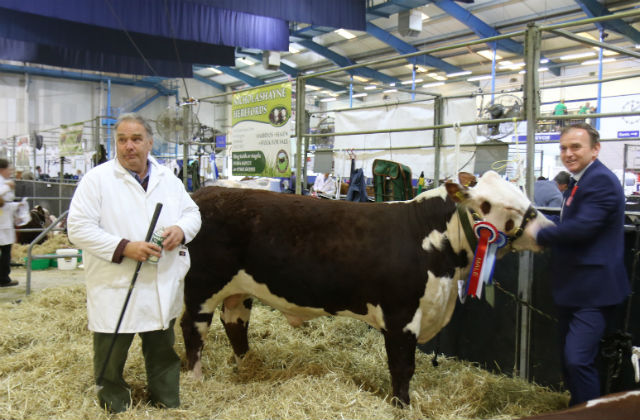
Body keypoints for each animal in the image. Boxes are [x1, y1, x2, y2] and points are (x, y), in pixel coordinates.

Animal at [181, 170, 556, 404]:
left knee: (235, 323)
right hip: (200, 287)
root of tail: (204, 192)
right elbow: (402, 367)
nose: (549, 229)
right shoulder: (401, 316)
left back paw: (247, 365)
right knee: (194, 329)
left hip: (237, 290)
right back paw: (195, 379)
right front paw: (402, 405)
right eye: (496, 205)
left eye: (521, 194)